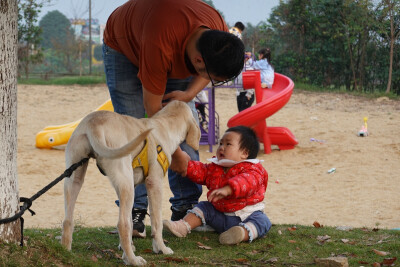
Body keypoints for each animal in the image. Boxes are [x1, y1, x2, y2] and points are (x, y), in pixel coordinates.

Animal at [60, 100, 200, 266]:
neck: (163, 124)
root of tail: (94, 123)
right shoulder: (154, 183)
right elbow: (156, 222)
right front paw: (161, 248)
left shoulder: (132, 185)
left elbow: (132, 219)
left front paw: (127, 249)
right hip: (125, 182)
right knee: (122, 224)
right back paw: (134, 260)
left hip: (75, 177)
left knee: (67, 219)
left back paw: (66, 251)